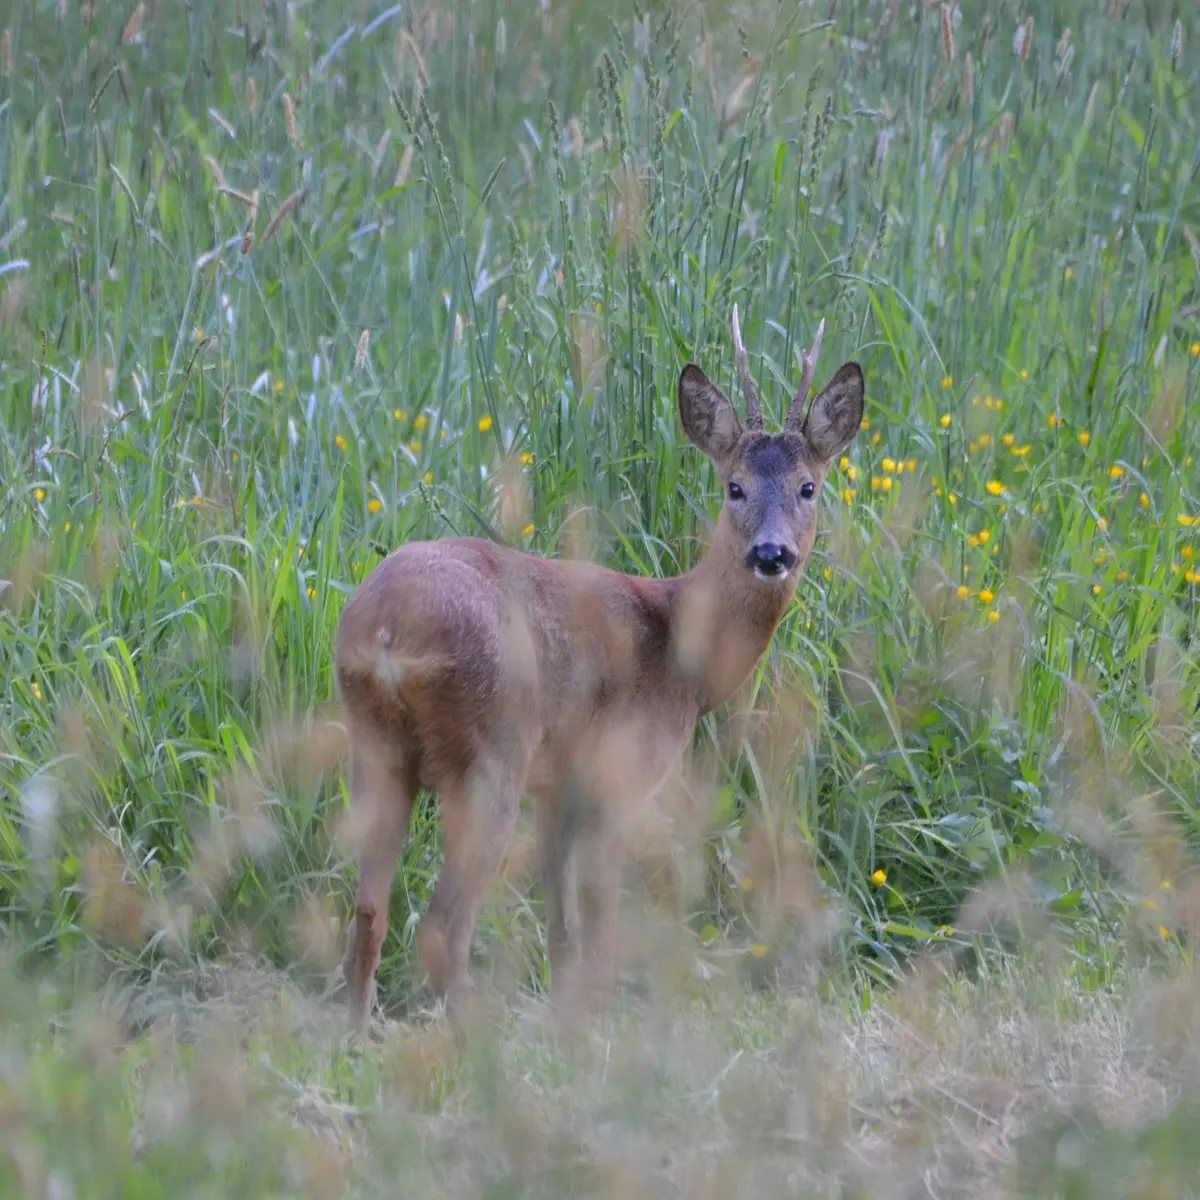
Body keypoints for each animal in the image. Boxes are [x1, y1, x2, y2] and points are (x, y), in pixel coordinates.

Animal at [338, 309, 864, 1032]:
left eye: (808, 487)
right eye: (735, 487)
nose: (771, 553)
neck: (679, 652)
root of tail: (387, 629)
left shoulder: (559, 789)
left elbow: (563, 930)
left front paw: (570, 1020)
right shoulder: (620, 772)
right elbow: (602, 924)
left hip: (374, 745)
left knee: (367, 912)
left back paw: (358, 1033)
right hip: (490, 750)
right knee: (444, 927)